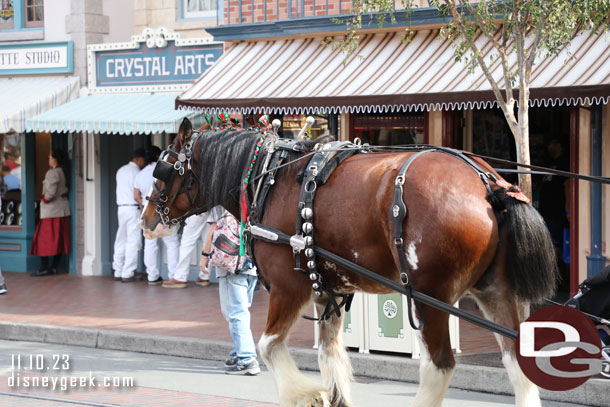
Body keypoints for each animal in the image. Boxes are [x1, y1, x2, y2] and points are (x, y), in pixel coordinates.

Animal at [141, 118, 556, 407]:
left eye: (162, 172)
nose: (146, 220)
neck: (269, 179)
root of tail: (488, 183)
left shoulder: (289, 287)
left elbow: (268, 346)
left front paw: (306, 393)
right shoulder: (328, 291)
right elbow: (330, 355)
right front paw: (329, 394)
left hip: (430, 297)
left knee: (439, 365)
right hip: (496, 291)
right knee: (517, 361)